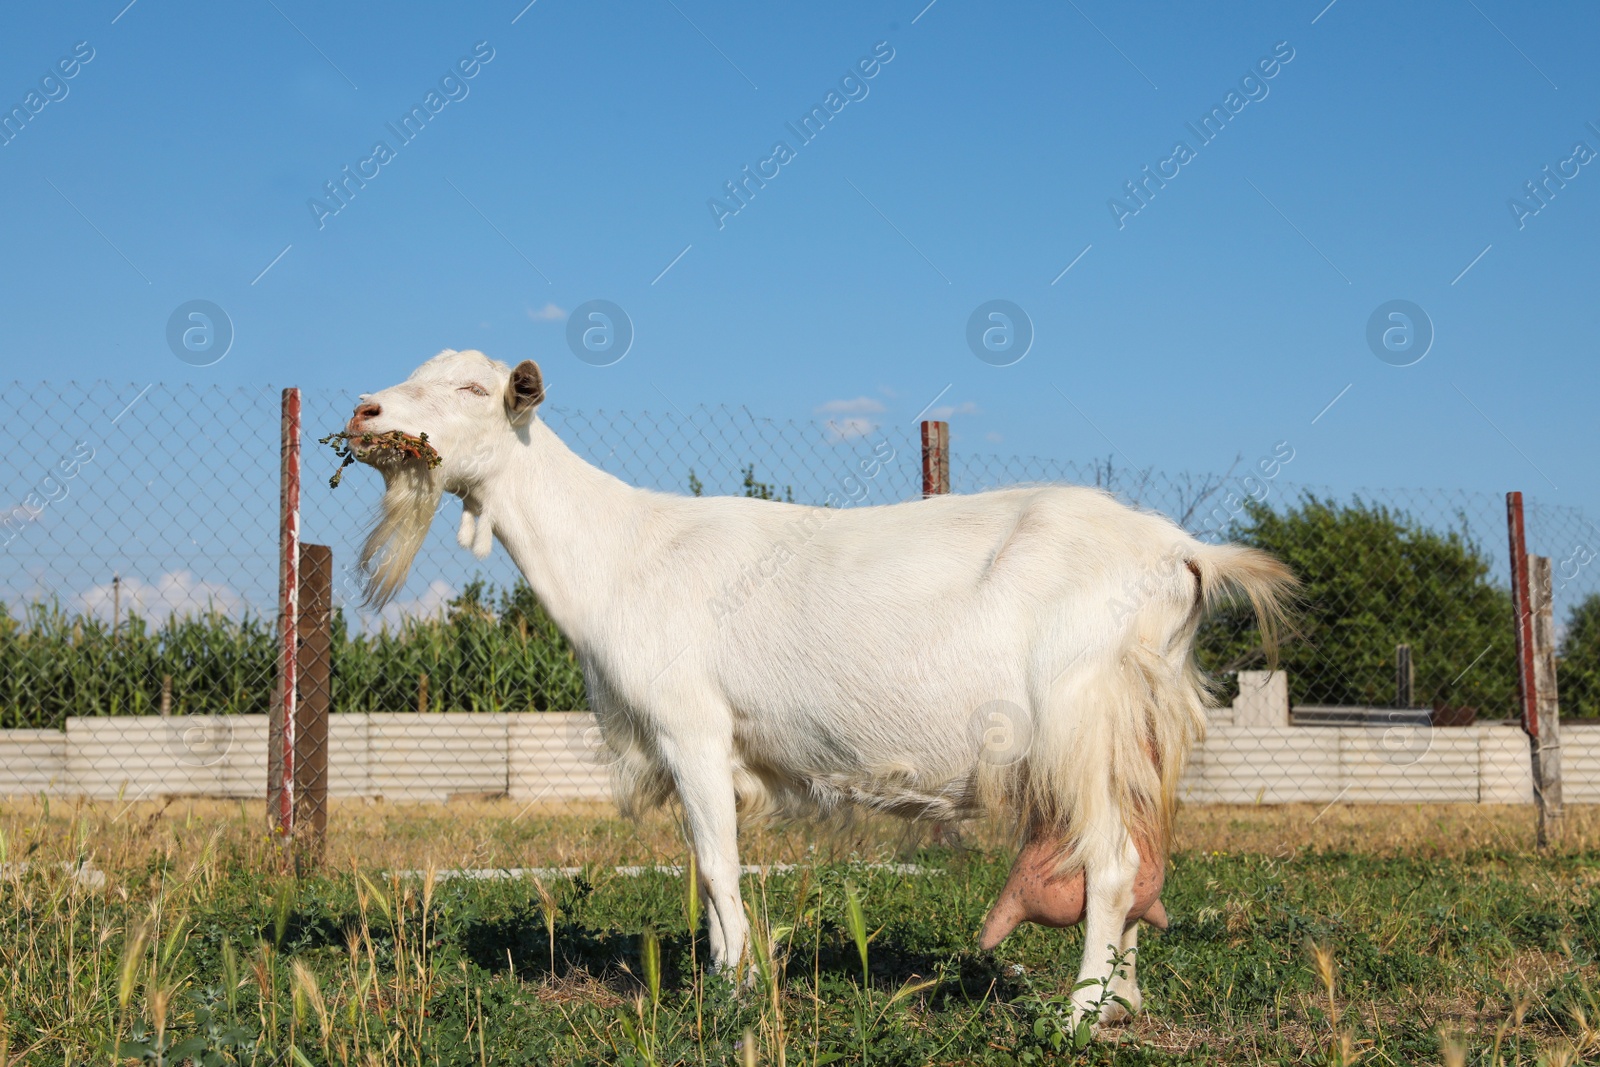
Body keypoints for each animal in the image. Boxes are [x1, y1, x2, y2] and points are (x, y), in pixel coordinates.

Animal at [344, 351, 1292, 1023]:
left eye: (473, 384)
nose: (363, 412)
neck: (622, 547)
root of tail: (1180, 550)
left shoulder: (691, 727)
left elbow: (718, 862)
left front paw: (731, 991)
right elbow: (707, 865)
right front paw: (727, 976)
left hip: (1081, 718)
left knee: (1113, 860)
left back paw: (1080, 1015)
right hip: (1136, 728)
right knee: (1140, 864)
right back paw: (1125, 1003)